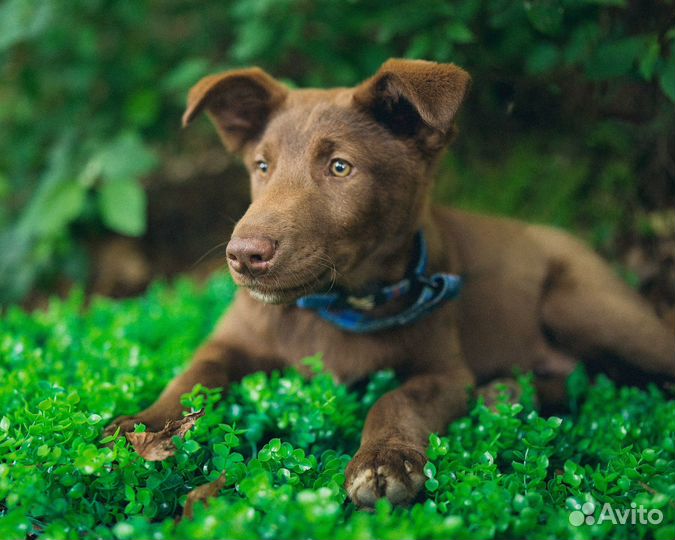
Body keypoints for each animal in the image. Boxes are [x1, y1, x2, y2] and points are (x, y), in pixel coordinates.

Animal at [107, 61, 675, 508]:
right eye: (261, 166)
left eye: (340, 167)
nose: (243, 255)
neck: (339, 306)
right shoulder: (229, 342)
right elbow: (190, 378)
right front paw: (136, 427)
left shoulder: (446, 373)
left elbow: (397, 399)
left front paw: (383, 462)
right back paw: (508, 392)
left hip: (585, 306)